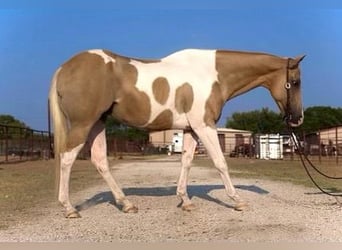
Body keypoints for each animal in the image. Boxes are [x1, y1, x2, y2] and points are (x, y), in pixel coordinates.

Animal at [48, 48, 304, 217]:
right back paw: (69, 208)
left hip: (98, 123)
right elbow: (220, 162)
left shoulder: (191, 129)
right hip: (83, 124)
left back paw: (126, 204)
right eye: (295, 81)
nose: (298, 118)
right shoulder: (204, 125)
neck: (212, 74)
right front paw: (238, 201)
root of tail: (64, 68)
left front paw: (185, 201)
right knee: (67, 159)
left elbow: (186, 162)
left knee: (100, 160)